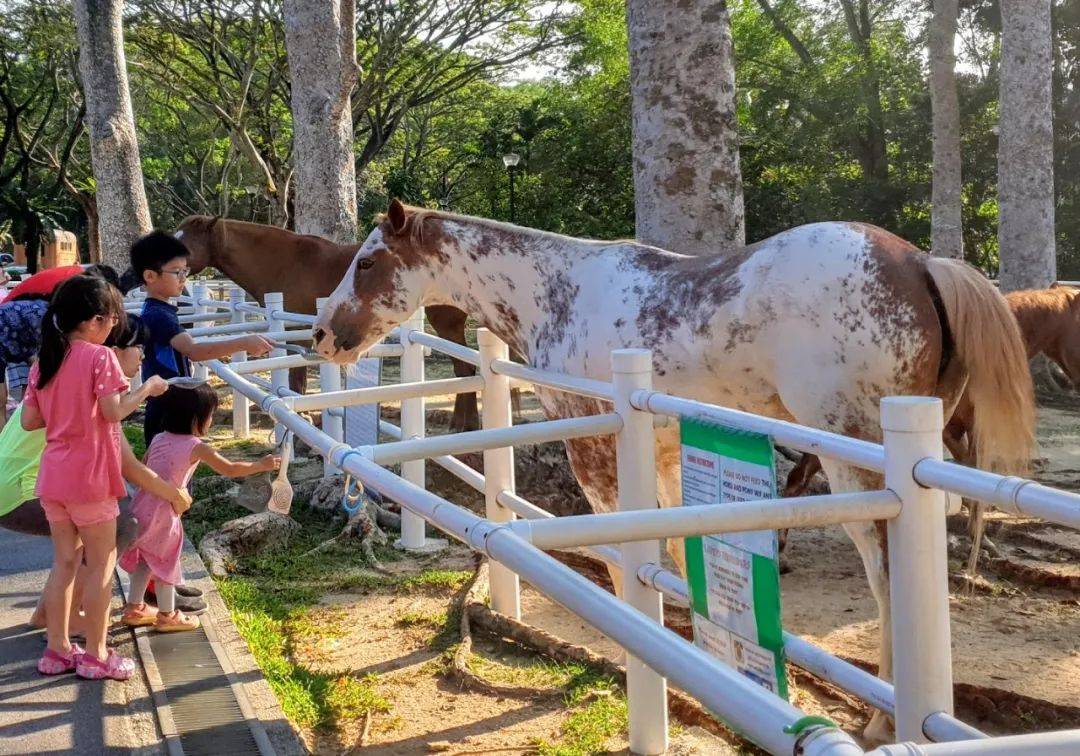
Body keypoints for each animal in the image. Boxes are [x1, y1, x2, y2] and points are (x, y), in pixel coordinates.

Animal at [174, 217, 479, 432]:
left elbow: (297, 381)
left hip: (446, 324)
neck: (285, 263)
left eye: (185, 245)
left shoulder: (296, 334)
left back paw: (465, 425)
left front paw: (302, 420)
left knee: (465, 368)